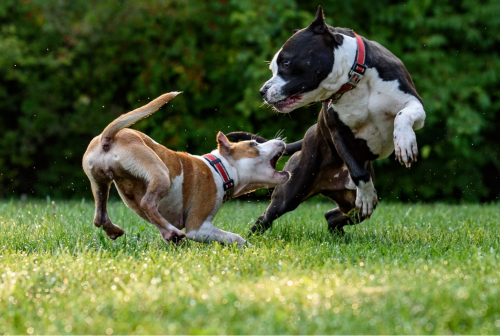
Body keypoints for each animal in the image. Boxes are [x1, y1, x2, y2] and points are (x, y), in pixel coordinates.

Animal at [82, 92, 290, 247]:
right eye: (253, 144)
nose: (280, 140)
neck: (220, 168)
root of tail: (108, 138)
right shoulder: (198, 227)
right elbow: (234, 237)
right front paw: (249, 247)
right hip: (160, 173)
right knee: (147, 203)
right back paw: (172, 231)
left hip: (100, 182)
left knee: (99, 216)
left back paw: (120, 230)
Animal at [229, 6, 424, 235]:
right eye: (273, 68)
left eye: (286, 63)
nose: (262, 91)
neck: (354, 80)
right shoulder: (338, 132)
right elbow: (358, 172)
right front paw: (366, 193)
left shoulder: (414, 103)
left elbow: (403, 116)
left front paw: (405, 143)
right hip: (291, 192)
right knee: (267, 216)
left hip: (349, 203)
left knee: (334, 216)